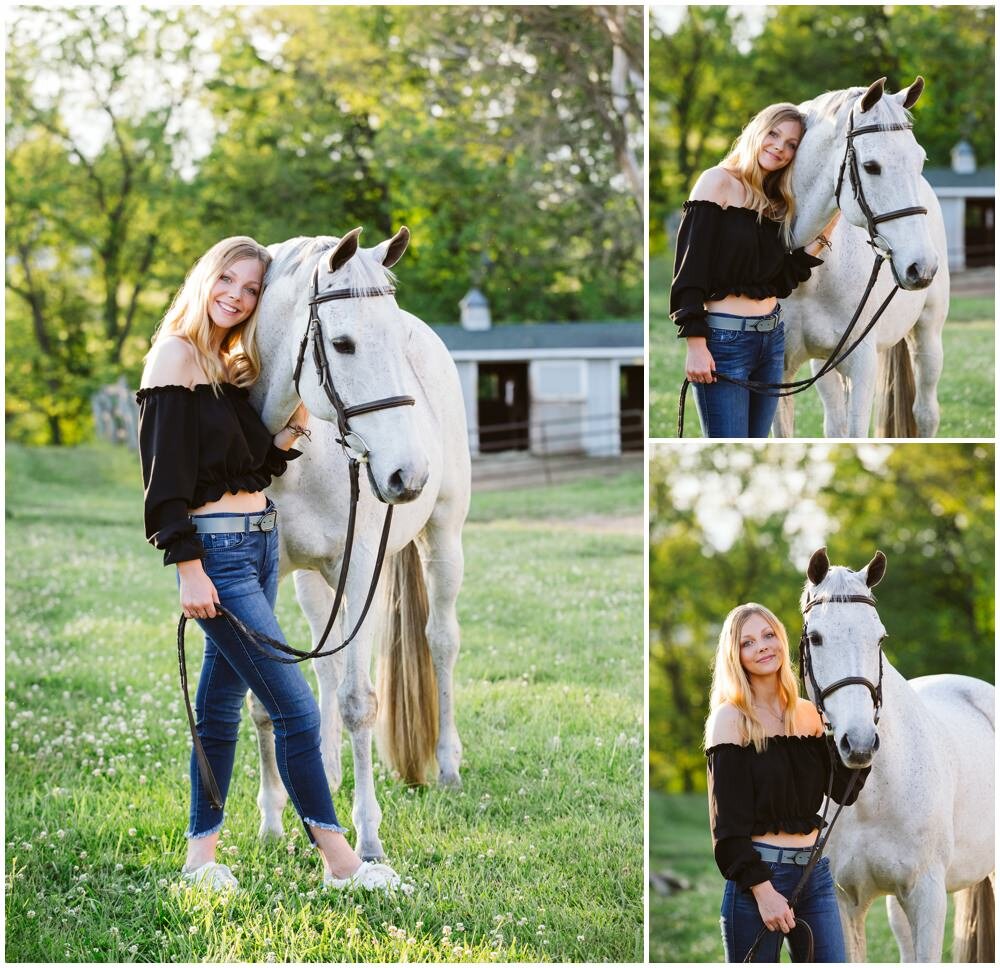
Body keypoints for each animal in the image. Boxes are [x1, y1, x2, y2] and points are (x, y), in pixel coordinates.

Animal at [248, 229, 470, 864]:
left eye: (397, 339)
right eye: (343, 344)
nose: (407, 474)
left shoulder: (360, 567)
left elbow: (359, 702)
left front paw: (368, 839)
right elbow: (266, 700)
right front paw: (273, 821)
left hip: (443, 541)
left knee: (441, 642)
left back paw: (447, 765)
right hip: (312, 581)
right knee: (325, 663)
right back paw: (323, 769)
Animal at [776, 78, 948, 438]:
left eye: (920, 160)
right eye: (871, 166)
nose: (922, 266)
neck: (807, 274)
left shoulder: (862, 364)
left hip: (928, 336)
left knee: (926, 413)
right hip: (824, 366)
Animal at [800, 548, 988, 964]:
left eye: (880, 638)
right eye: (816, 638)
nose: (859, 743)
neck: (873, 795)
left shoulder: (927, 895)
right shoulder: (842, 901)